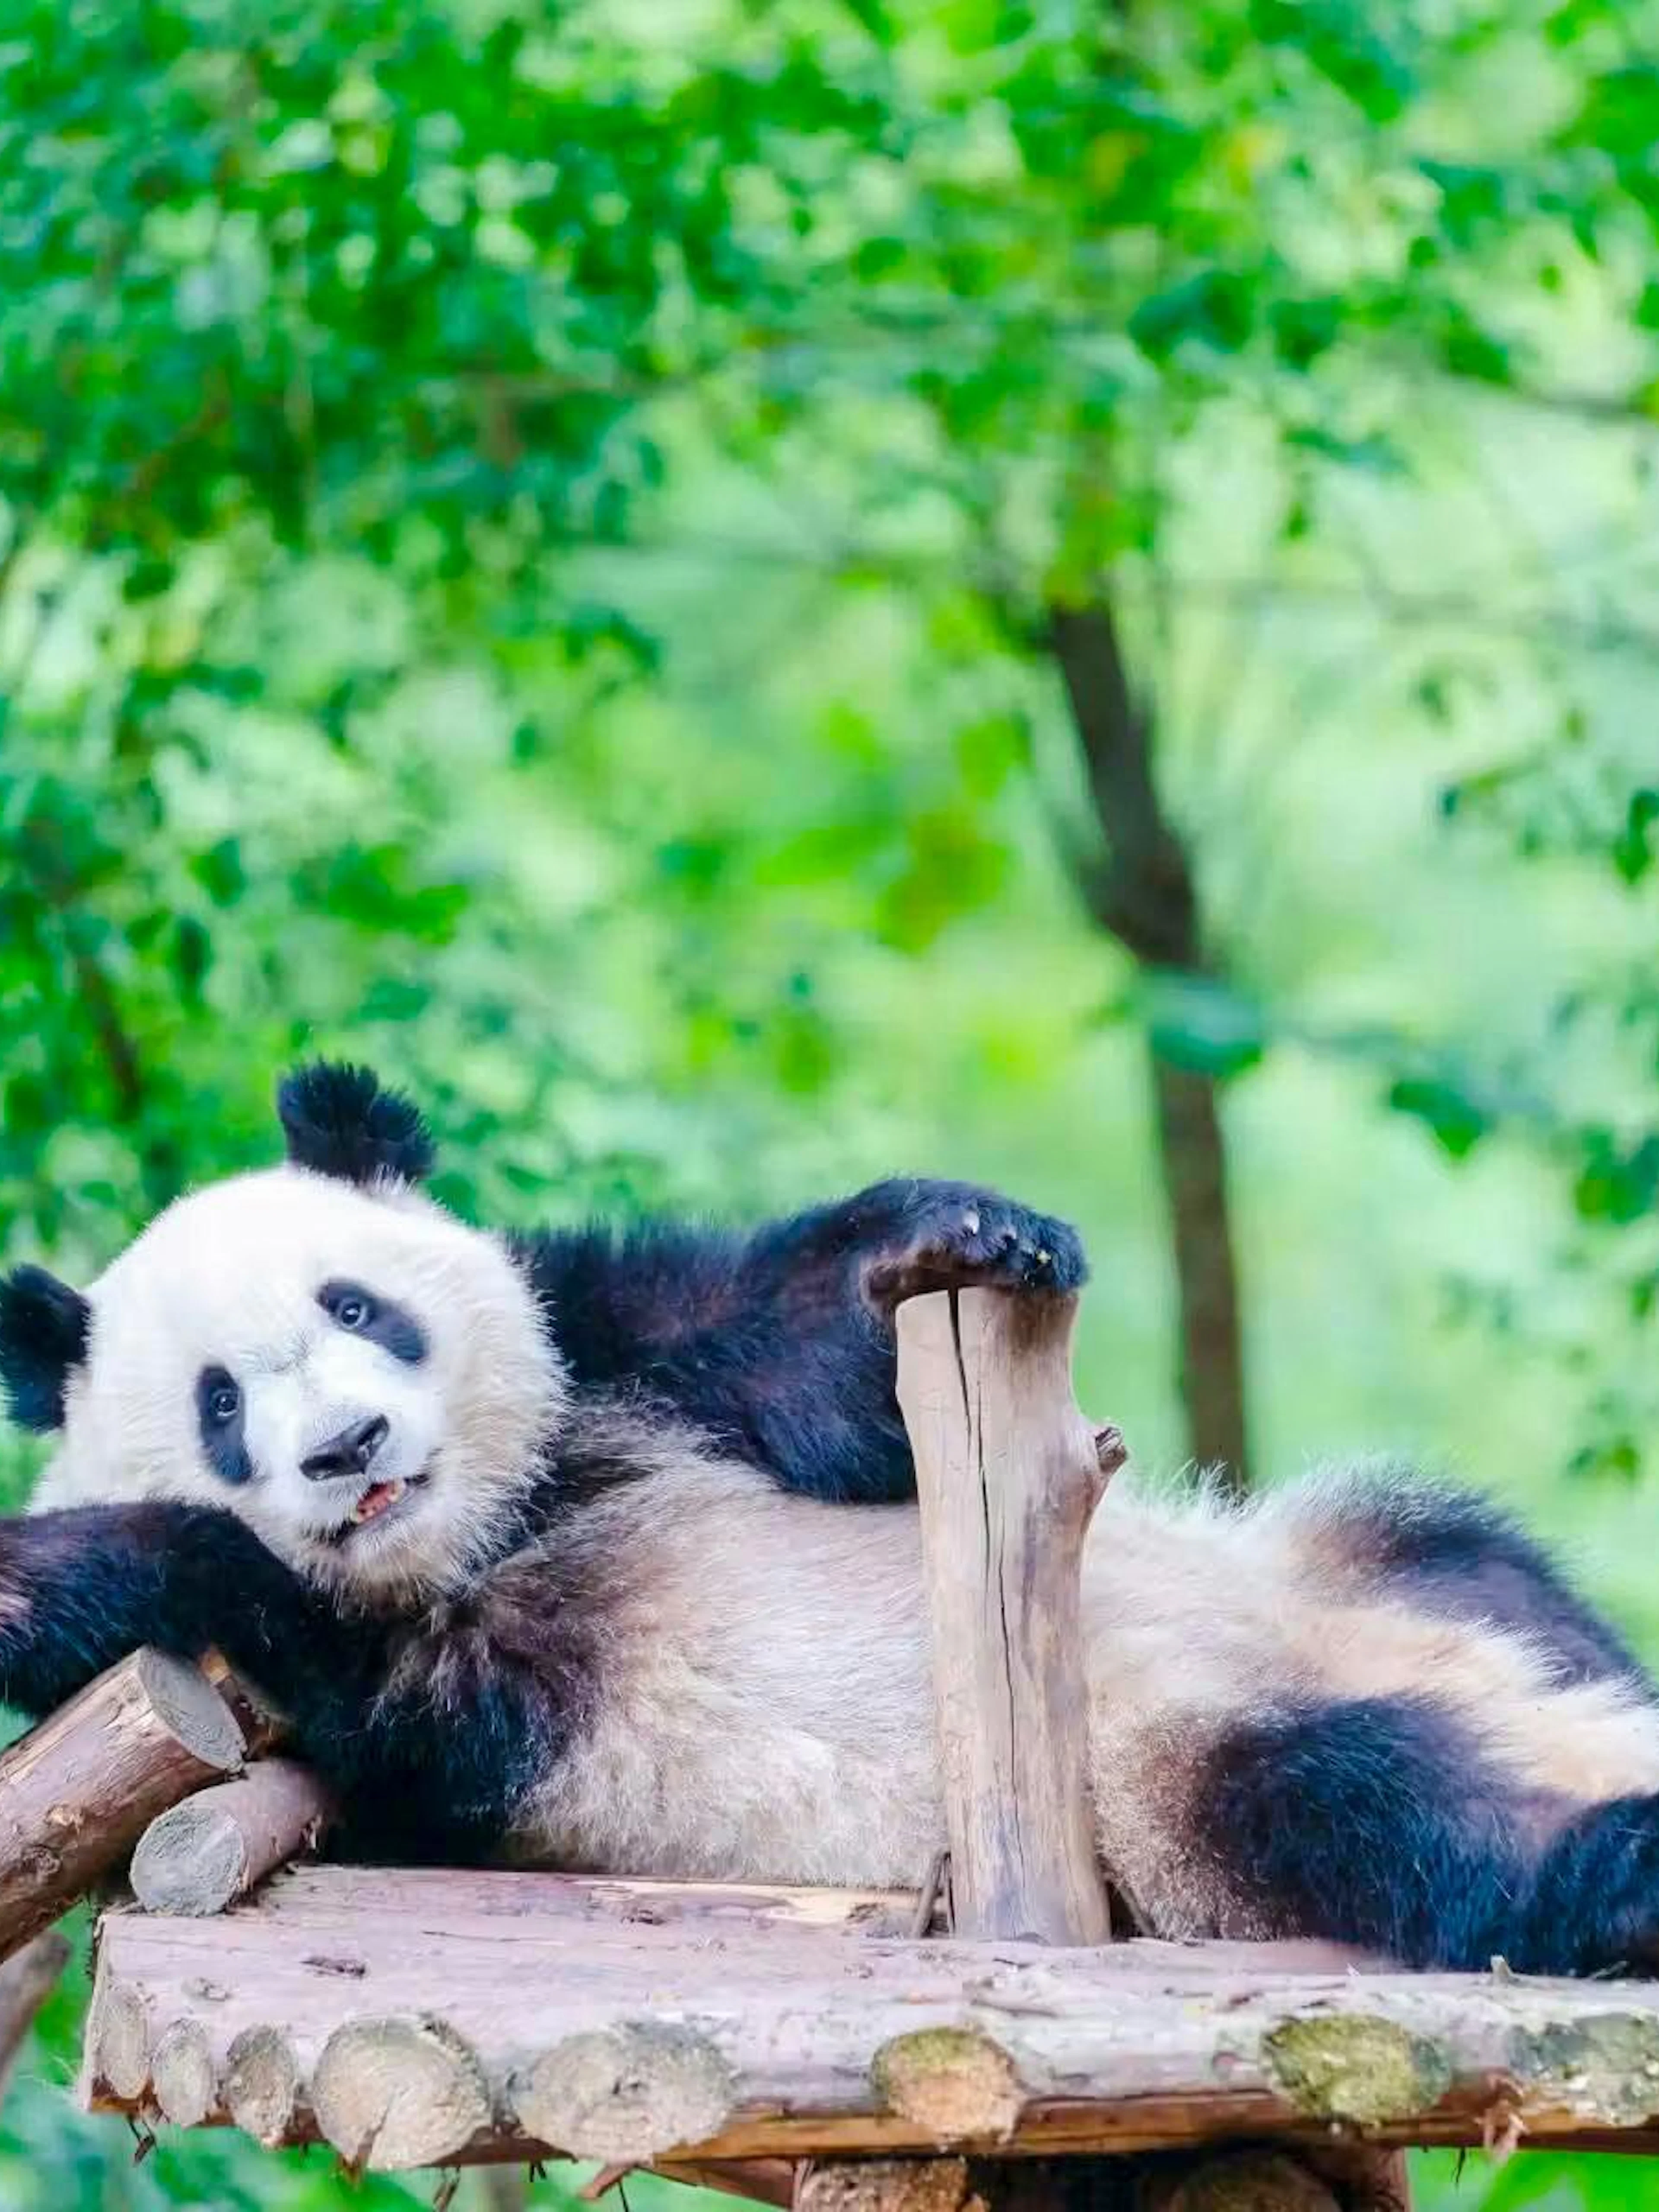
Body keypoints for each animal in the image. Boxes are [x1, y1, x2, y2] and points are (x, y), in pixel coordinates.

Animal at [2, 1061, 1659, 1976]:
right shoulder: (428, 1713)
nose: (349, 1448)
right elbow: (306, 1647)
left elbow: (808, 1358)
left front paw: (963, 1235)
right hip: (1170, 1784)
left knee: (1478, 1565)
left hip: (1348, 1567)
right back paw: (1611, 1850)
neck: (498, 1527)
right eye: (222, 1405)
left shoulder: (615, 1346)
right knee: (1390, 1808)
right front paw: (65, 1576)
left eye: (358, 1307)